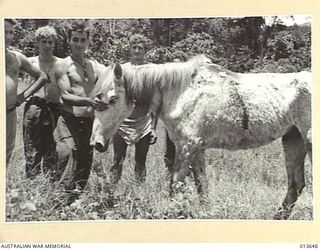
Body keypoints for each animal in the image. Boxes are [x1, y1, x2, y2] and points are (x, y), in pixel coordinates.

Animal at [90, 55, 312, 220]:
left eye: (113, 99)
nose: (96, 143)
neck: (181, 92)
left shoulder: (187, 147)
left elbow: (176, 184)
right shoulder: (197, 149)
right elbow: (201, 186)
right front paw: (207, 213)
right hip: (293, 140)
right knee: (296, 185)